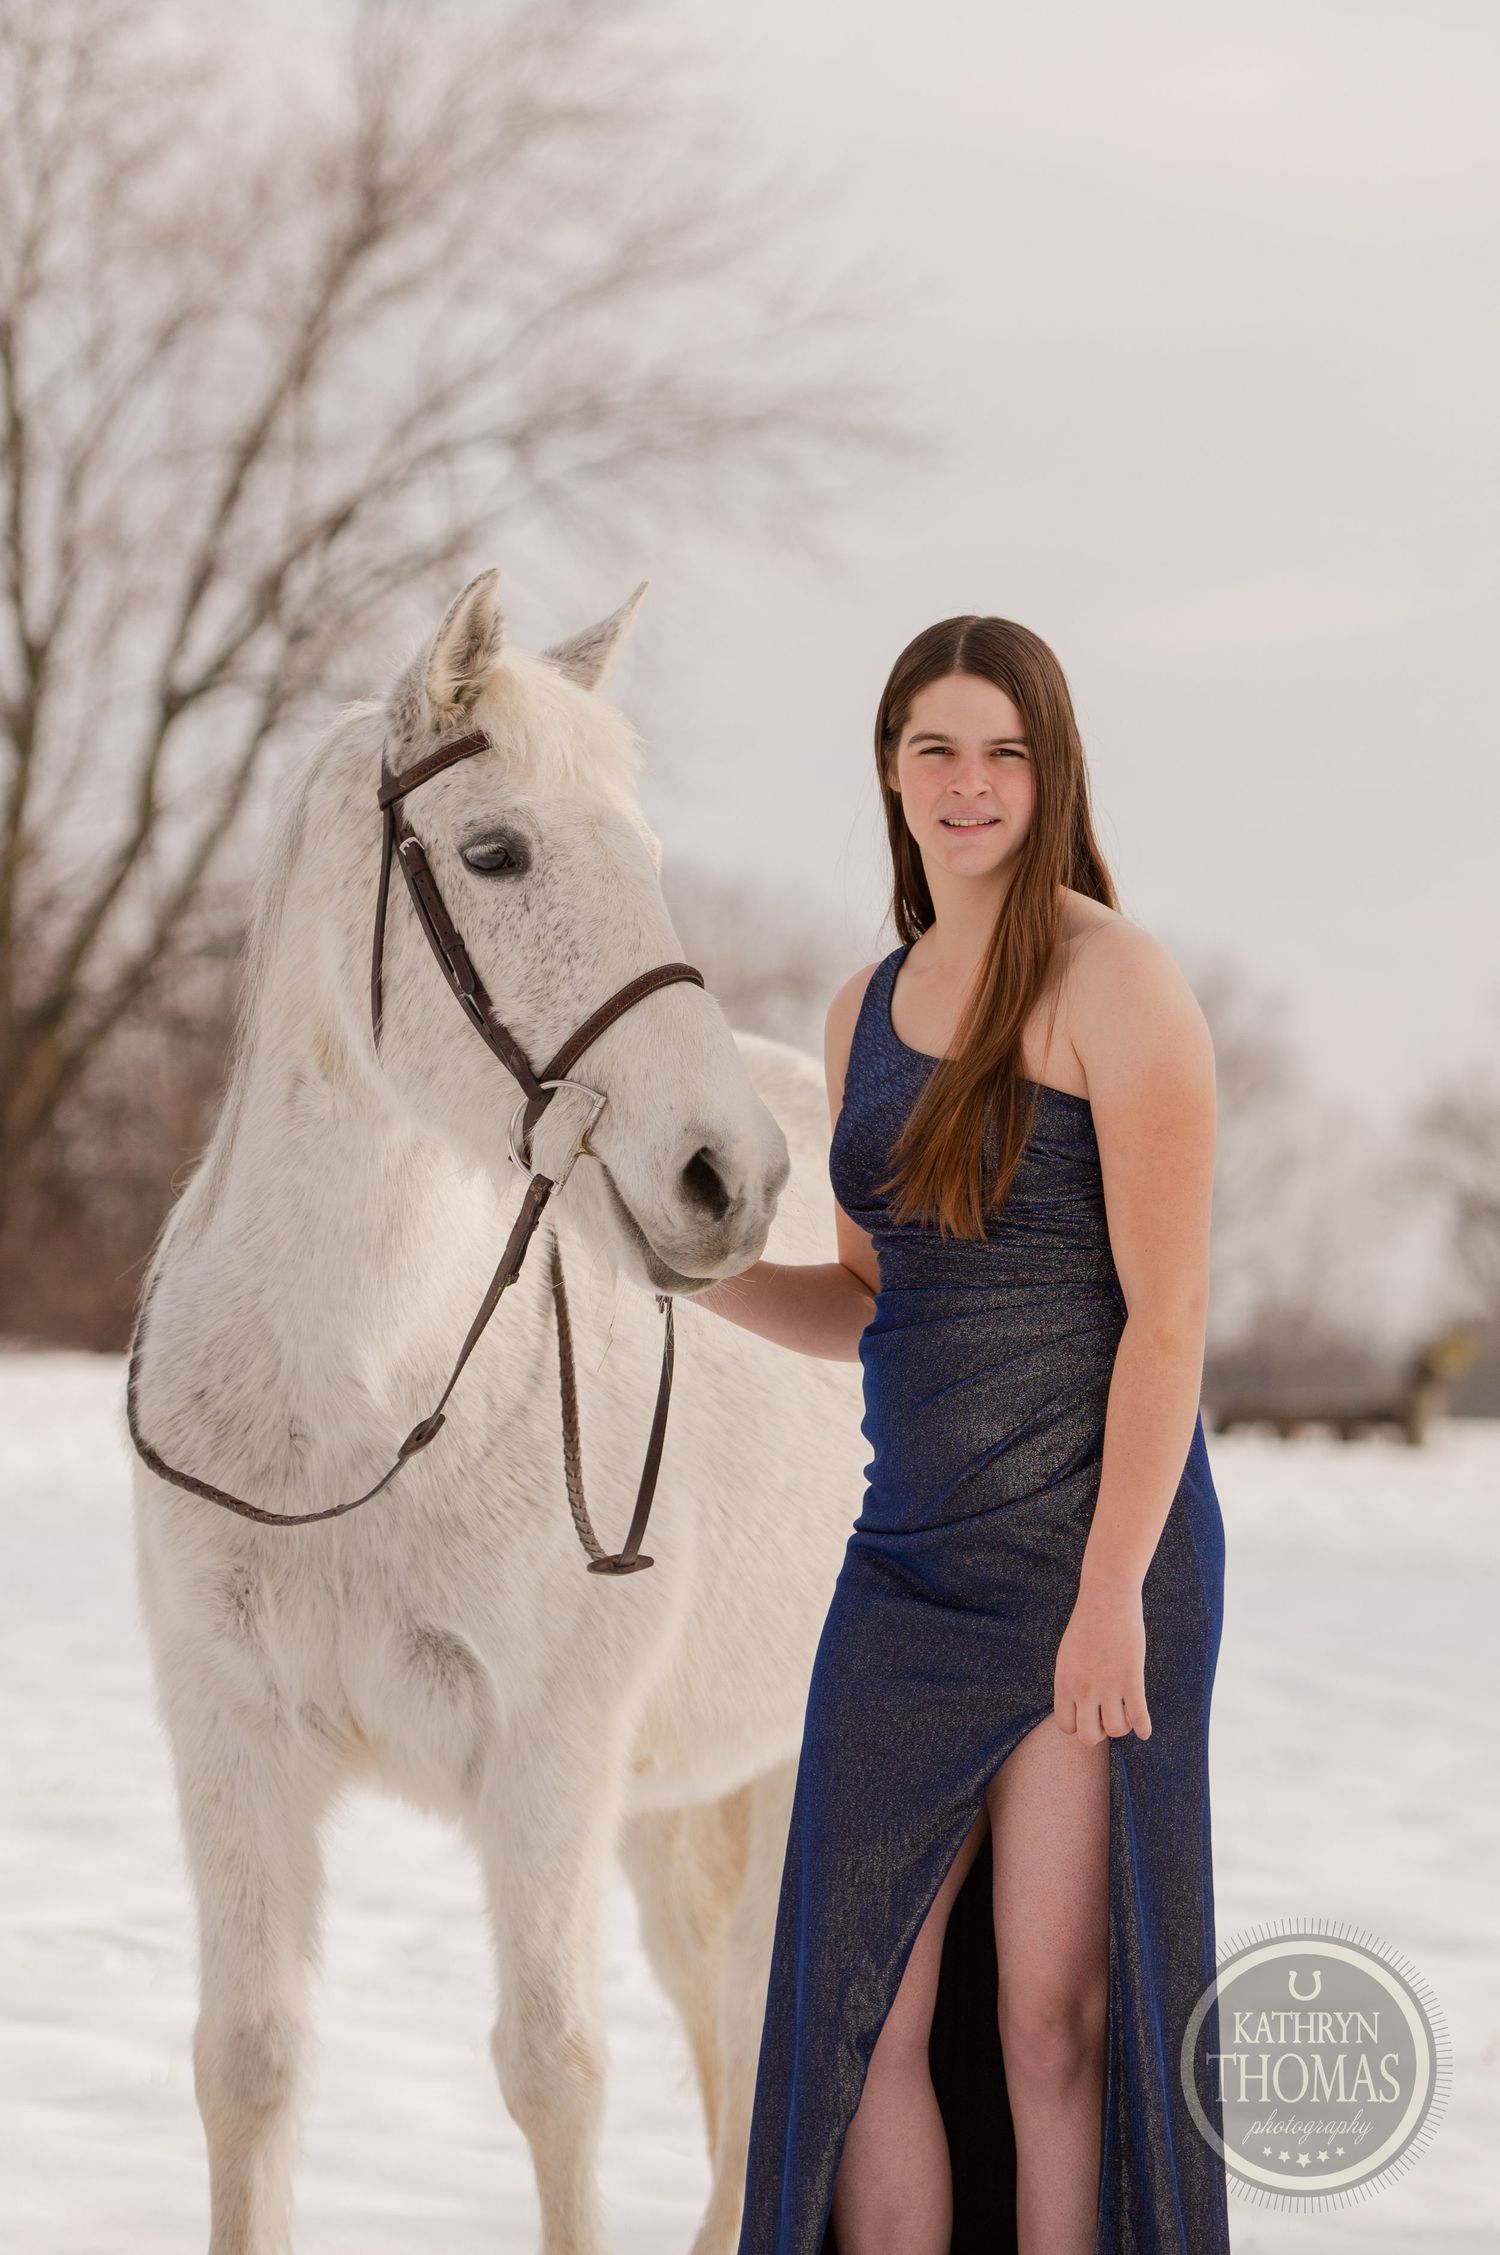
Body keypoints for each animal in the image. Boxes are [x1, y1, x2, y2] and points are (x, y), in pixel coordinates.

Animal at [127, 567, 866, 2254]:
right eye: (495, 851)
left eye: (646, 857)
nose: (730, 1176)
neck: (356, 1409)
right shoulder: (231, 1734)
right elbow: (249, 2060)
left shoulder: (548, 1761)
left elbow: (553, 2070)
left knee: (759, 2016)